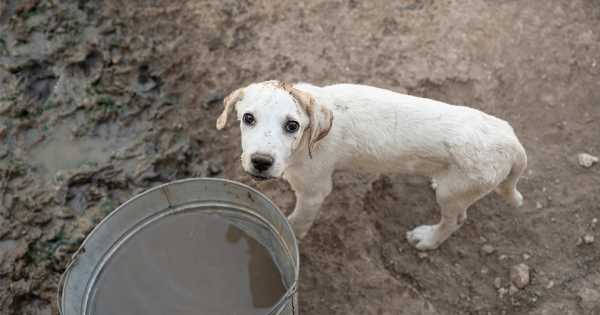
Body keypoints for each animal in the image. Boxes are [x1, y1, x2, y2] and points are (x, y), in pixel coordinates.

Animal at [216, 81, 524, 252]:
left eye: (292, 125)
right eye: (248, 118)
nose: (260, 162)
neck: (308, 139)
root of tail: (511, 140)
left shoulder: (314, 191)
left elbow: (296, 222)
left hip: (454, 194)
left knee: (456, 220)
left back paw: (428, 238)